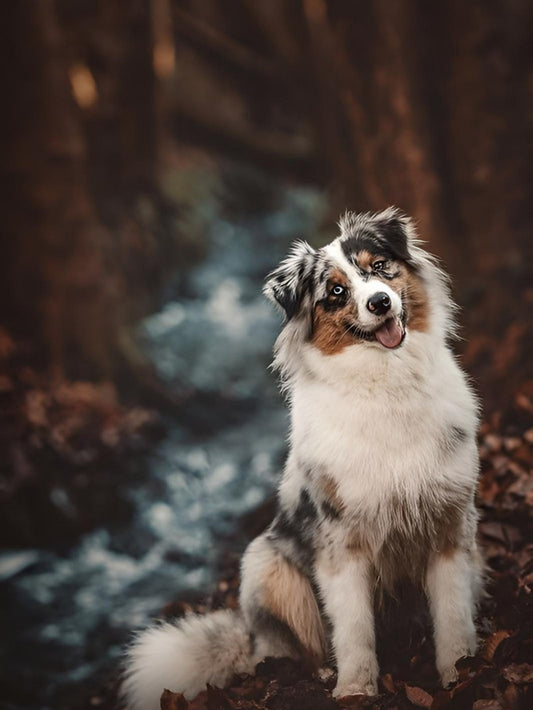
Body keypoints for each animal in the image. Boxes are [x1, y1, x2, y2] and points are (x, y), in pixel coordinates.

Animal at [121, 209, 482, 708]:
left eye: (380, 267)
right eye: (336, 291)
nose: (381, 302)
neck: (385, 384)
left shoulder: (450, 523)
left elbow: (452, 614)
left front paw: (459, 674)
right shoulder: (340, 542)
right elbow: (353, 629)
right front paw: (355, 690)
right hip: (264, 563)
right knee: (294, 646)